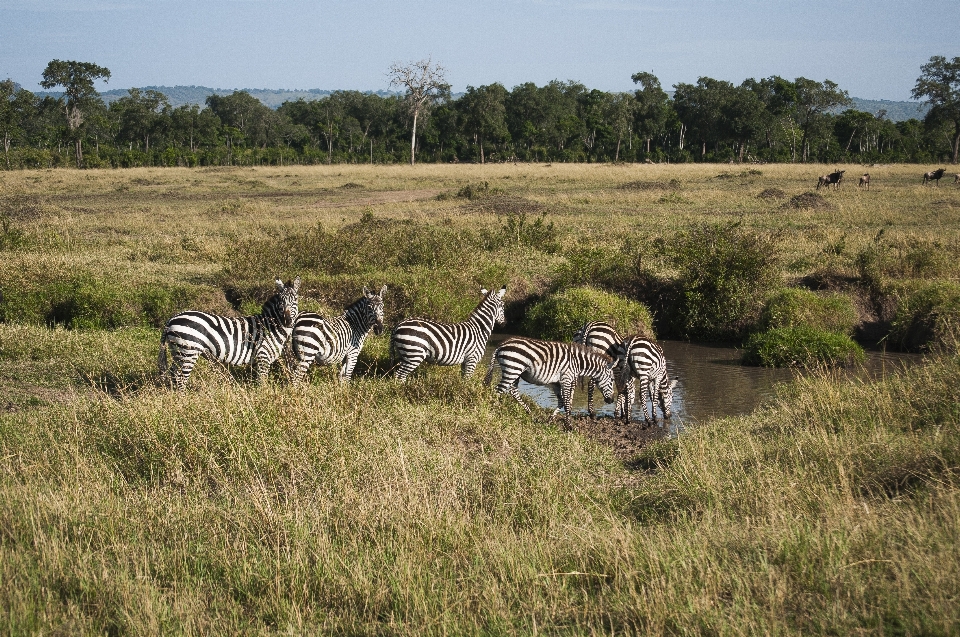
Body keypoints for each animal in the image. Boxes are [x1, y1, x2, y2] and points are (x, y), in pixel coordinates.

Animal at [158, 276, 300, 390]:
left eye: (295, 300)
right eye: (281, 301)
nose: (287, 321)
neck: (270, 326)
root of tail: (172, 318)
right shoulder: (263, 356)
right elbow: (262, 382)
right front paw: (263, 397)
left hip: (178, 352)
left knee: (173, 373)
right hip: (188, 351)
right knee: (181, 377)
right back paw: (183, 400)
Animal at [484, 336, 620, 424]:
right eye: (612, 380)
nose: (611, 400)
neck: (577, 363)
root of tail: (501, 345)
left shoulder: (556, 382)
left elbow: (561, 402)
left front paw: (551, 419)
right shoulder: (566, 379)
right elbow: (566, 402)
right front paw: (568, 425)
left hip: (515, 372)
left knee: (513, 391)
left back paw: (530, 413)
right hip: (512, 369)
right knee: (497, 391)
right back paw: (494, 412)